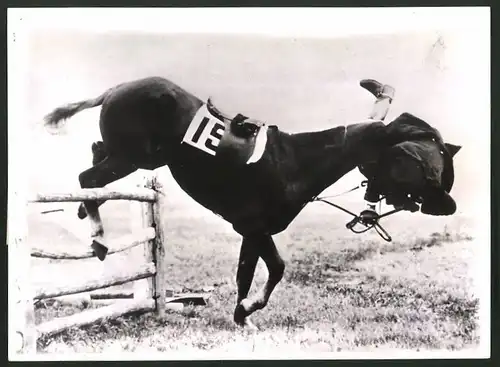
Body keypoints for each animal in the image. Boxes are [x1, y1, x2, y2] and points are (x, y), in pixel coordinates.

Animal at [44, 77, 460, 328]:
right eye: (431, 163)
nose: (447, 205)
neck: (295, 160)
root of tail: (118, 88)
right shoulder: (254, 227)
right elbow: (273, 268)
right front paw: (246, 309)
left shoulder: (251, 231)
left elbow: (253, 272)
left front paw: (242, 314)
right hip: (135, 157)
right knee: (88, 179)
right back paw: (98, 236)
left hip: (134, 158)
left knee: (95, 160)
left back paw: (84, 209)